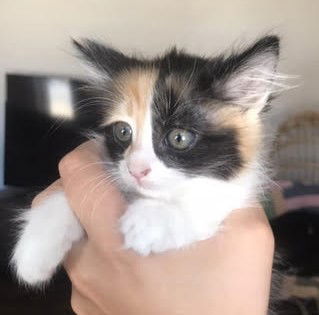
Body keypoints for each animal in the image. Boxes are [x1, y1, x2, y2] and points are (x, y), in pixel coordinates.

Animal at [11, 36, 282, 286]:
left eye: (179, 138)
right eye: (123, 131)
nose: (136, 170)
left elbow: (214, 198)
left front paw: (152, 221)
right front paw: (35, 251)